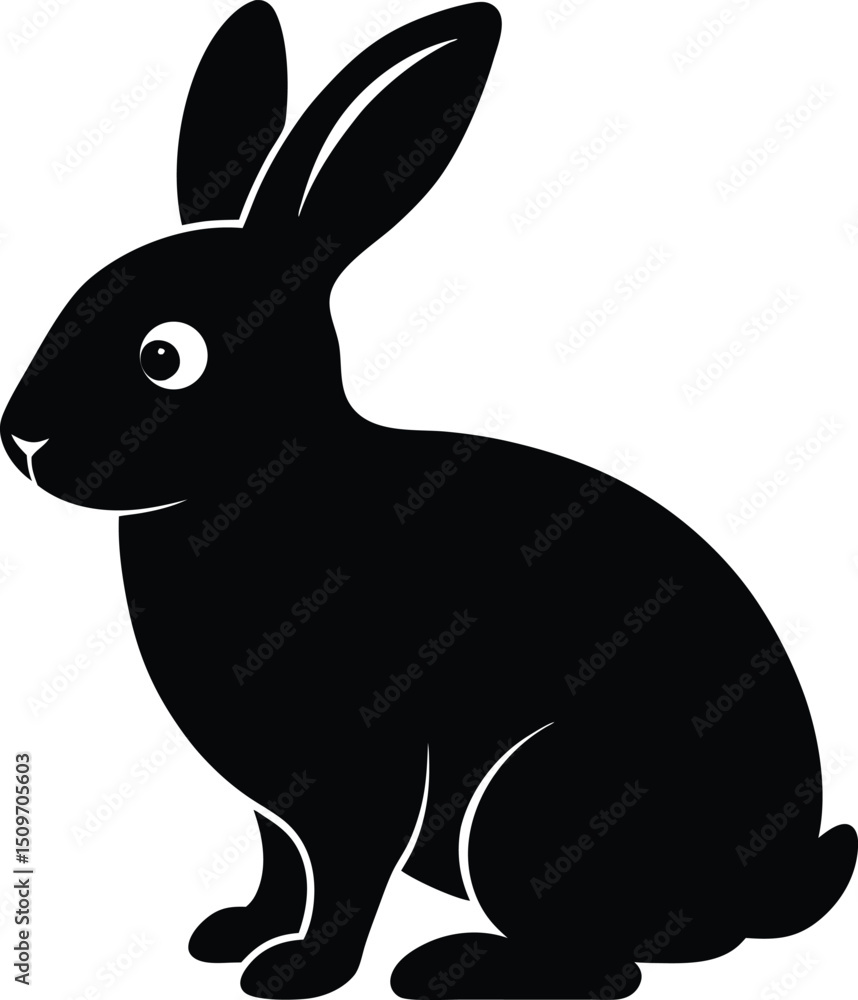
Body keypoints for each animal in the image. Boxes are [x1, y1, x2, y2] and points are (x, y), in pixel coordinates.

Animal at [1, 2, 855, 997]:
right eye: (81, 293)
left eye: (165, 356)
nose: (21, 440)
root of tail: (767, 887)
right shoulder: (273, 797)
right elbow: (279, 864)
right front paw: (232, 934)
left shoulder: (362, 772)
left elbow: (344, 876)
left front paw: (294, 973)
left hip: (538, 805)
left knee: (611, 967)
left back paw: (450, 966)